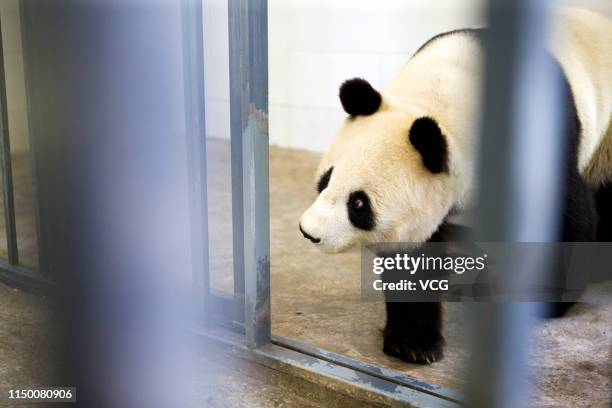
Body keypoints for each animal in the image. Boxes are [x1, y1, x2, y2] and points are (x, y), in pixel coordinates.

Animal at [298, 7, 612, 364]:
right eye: (325, 179)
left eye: (359, 204)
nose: (309, 232)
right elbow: (415, 253)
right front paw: (413, 343)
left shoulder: (538, 137)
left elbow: (568, 216)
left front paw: (543, 301)